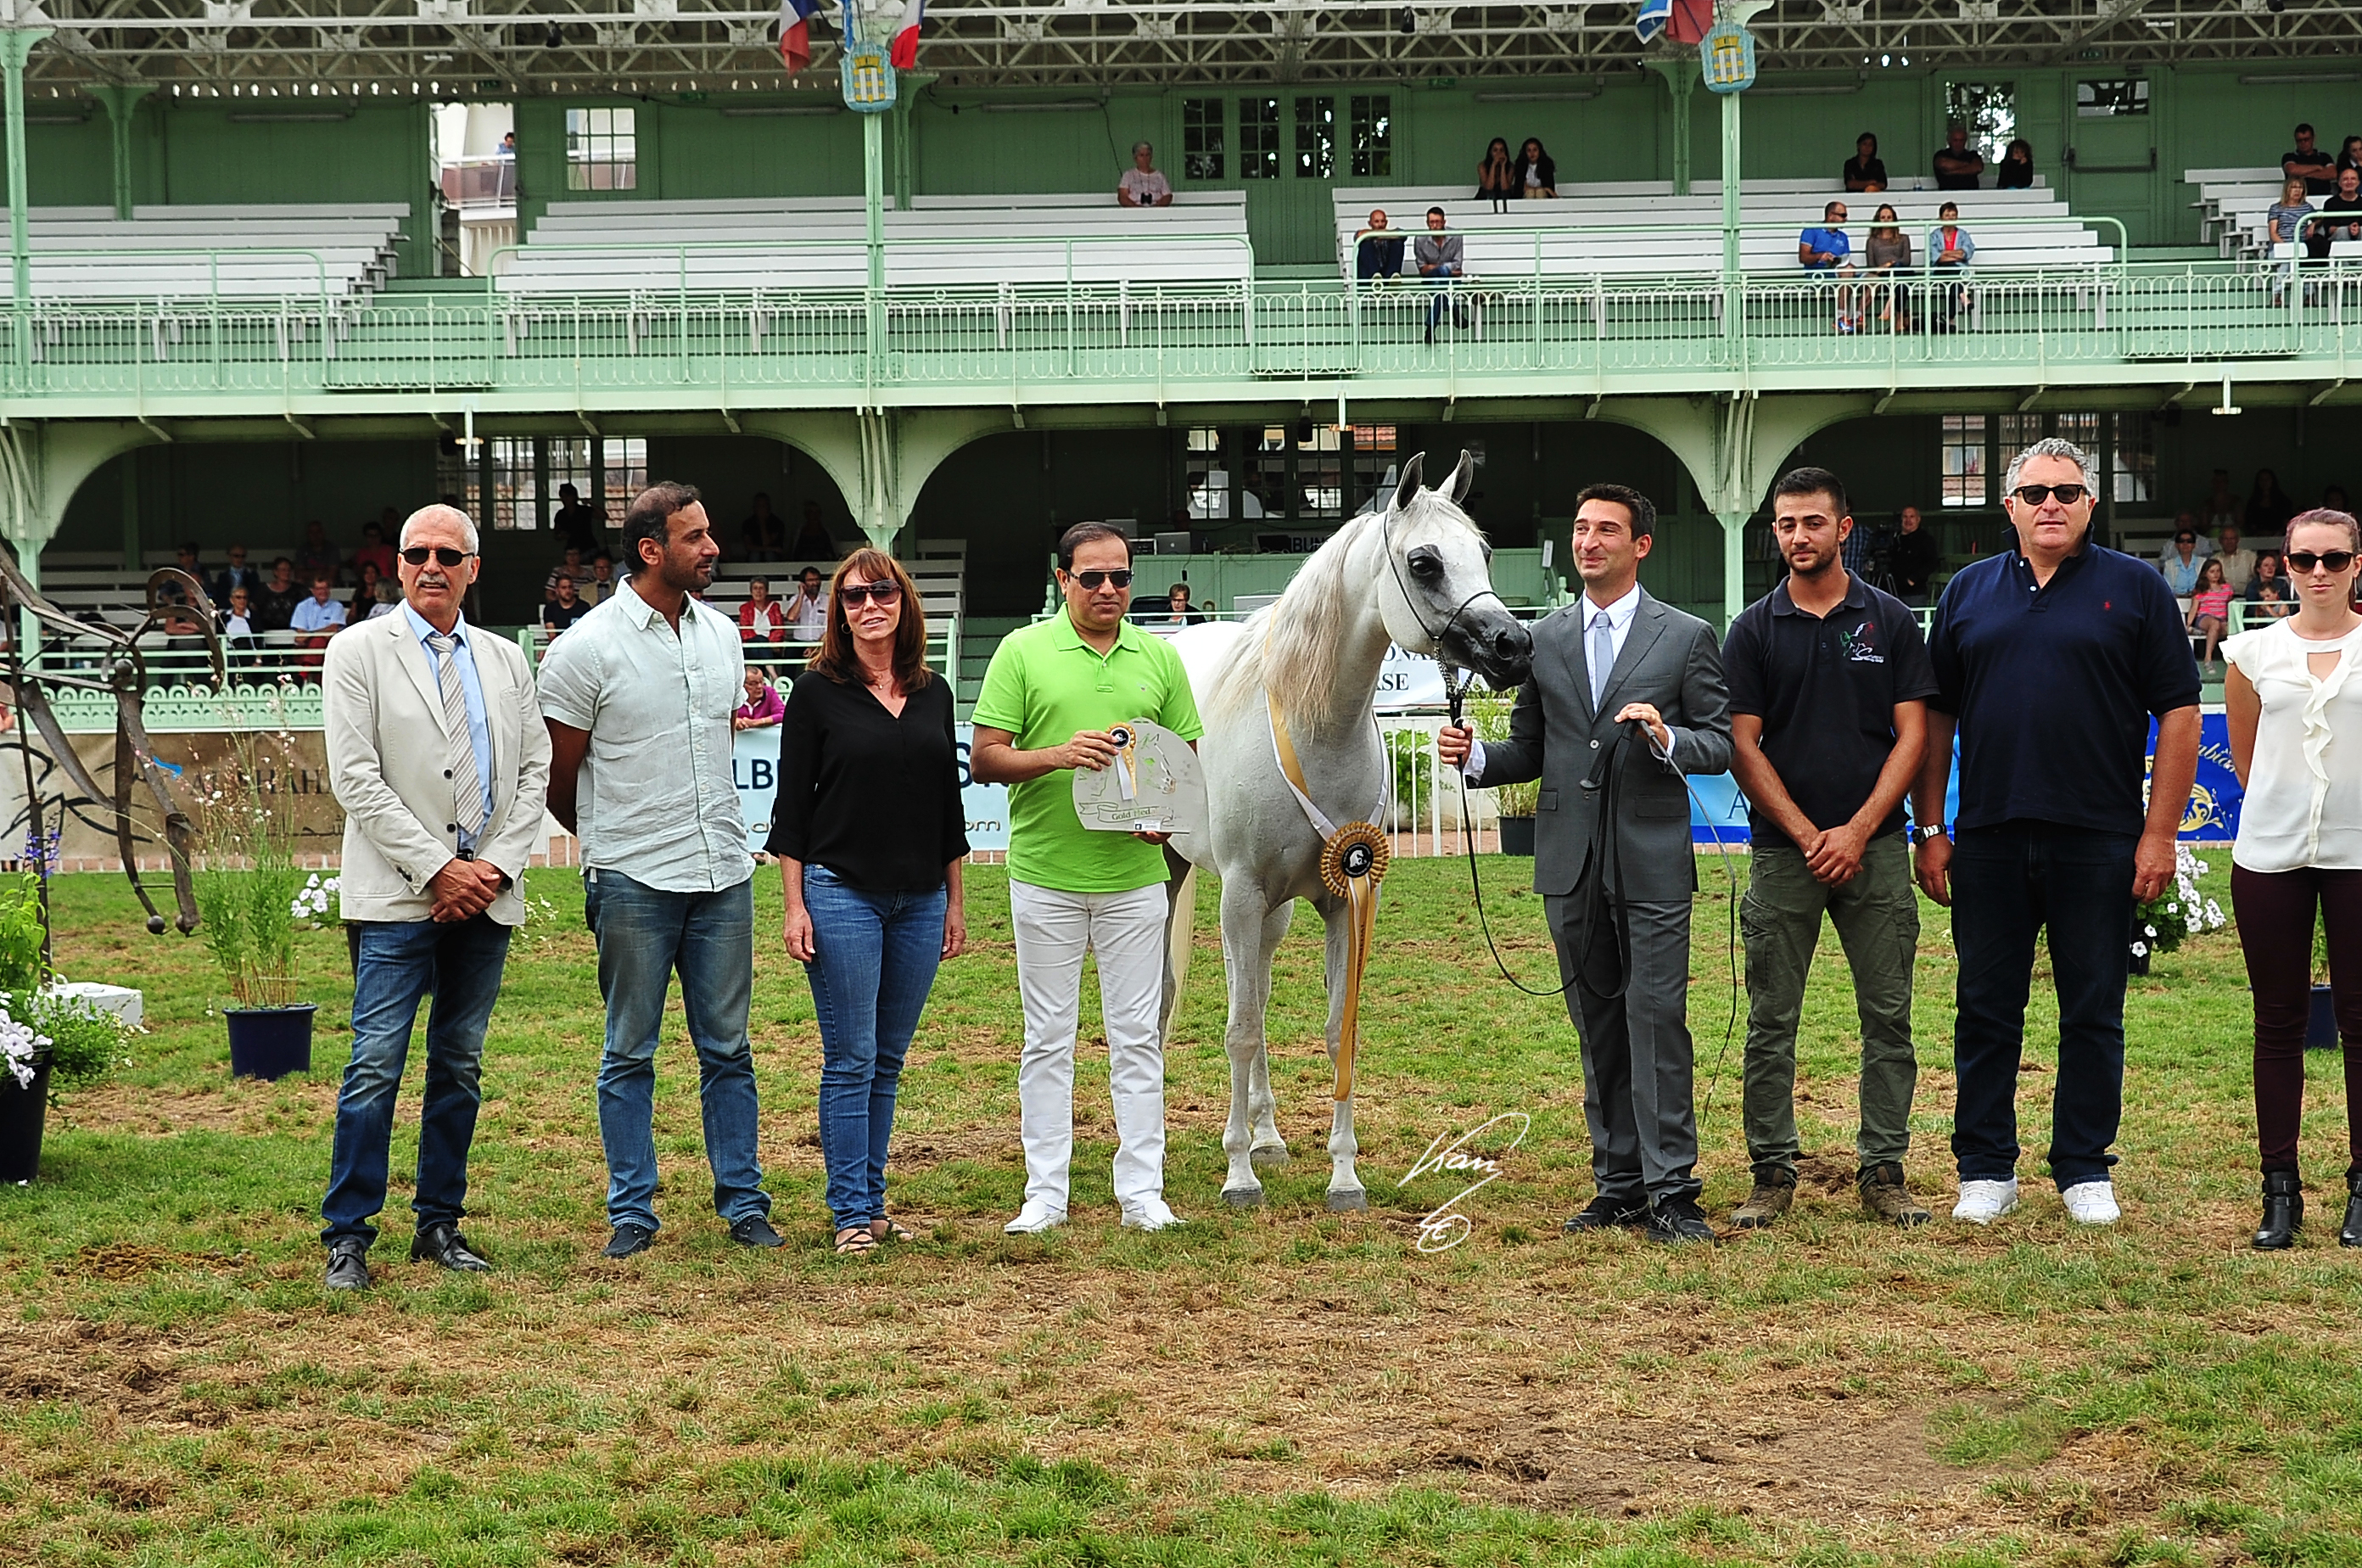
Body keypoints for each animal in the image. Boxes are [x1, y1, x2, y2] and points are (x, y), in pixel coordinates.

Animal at [1163, 450, 1535, 1211]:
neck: (1314, 730)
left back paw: (1268, 1137)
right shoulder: (1241, 894)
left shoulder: (1349, 895)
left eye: (1484, 551)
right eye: (1424, 562)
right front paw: (1238, 1178)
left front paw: (1342, 1176)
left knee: (1257, 994)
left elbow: (1337, 1031)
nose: (1513, 646)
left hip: (1267, 914)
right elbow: (1238, 1032)